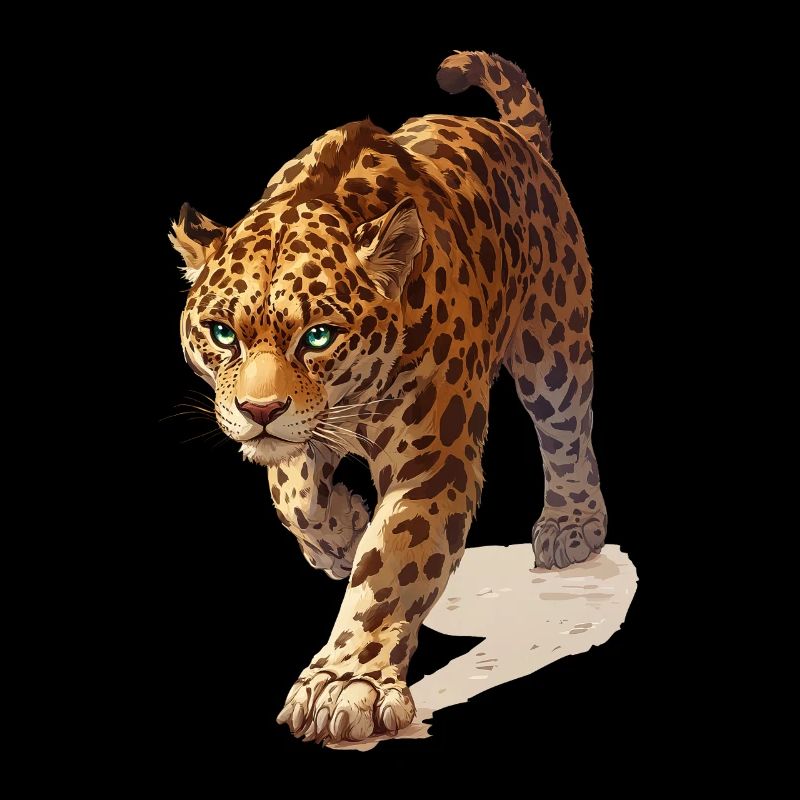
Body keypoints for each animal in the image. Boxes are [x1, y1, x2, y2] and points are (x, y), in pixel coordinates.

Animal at [170, 51, 607, 744]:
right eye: (221, 333)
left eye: (318, 335)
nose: (258, 412)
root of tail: (516, 138)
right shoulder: (299, 438)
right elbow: (294, 496)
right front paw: (341, 531)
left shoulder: (432, 459)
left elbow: (391, 565)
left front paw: (346, 684)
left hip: (551, 337)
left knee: (567, 427)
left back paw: (572, 526)